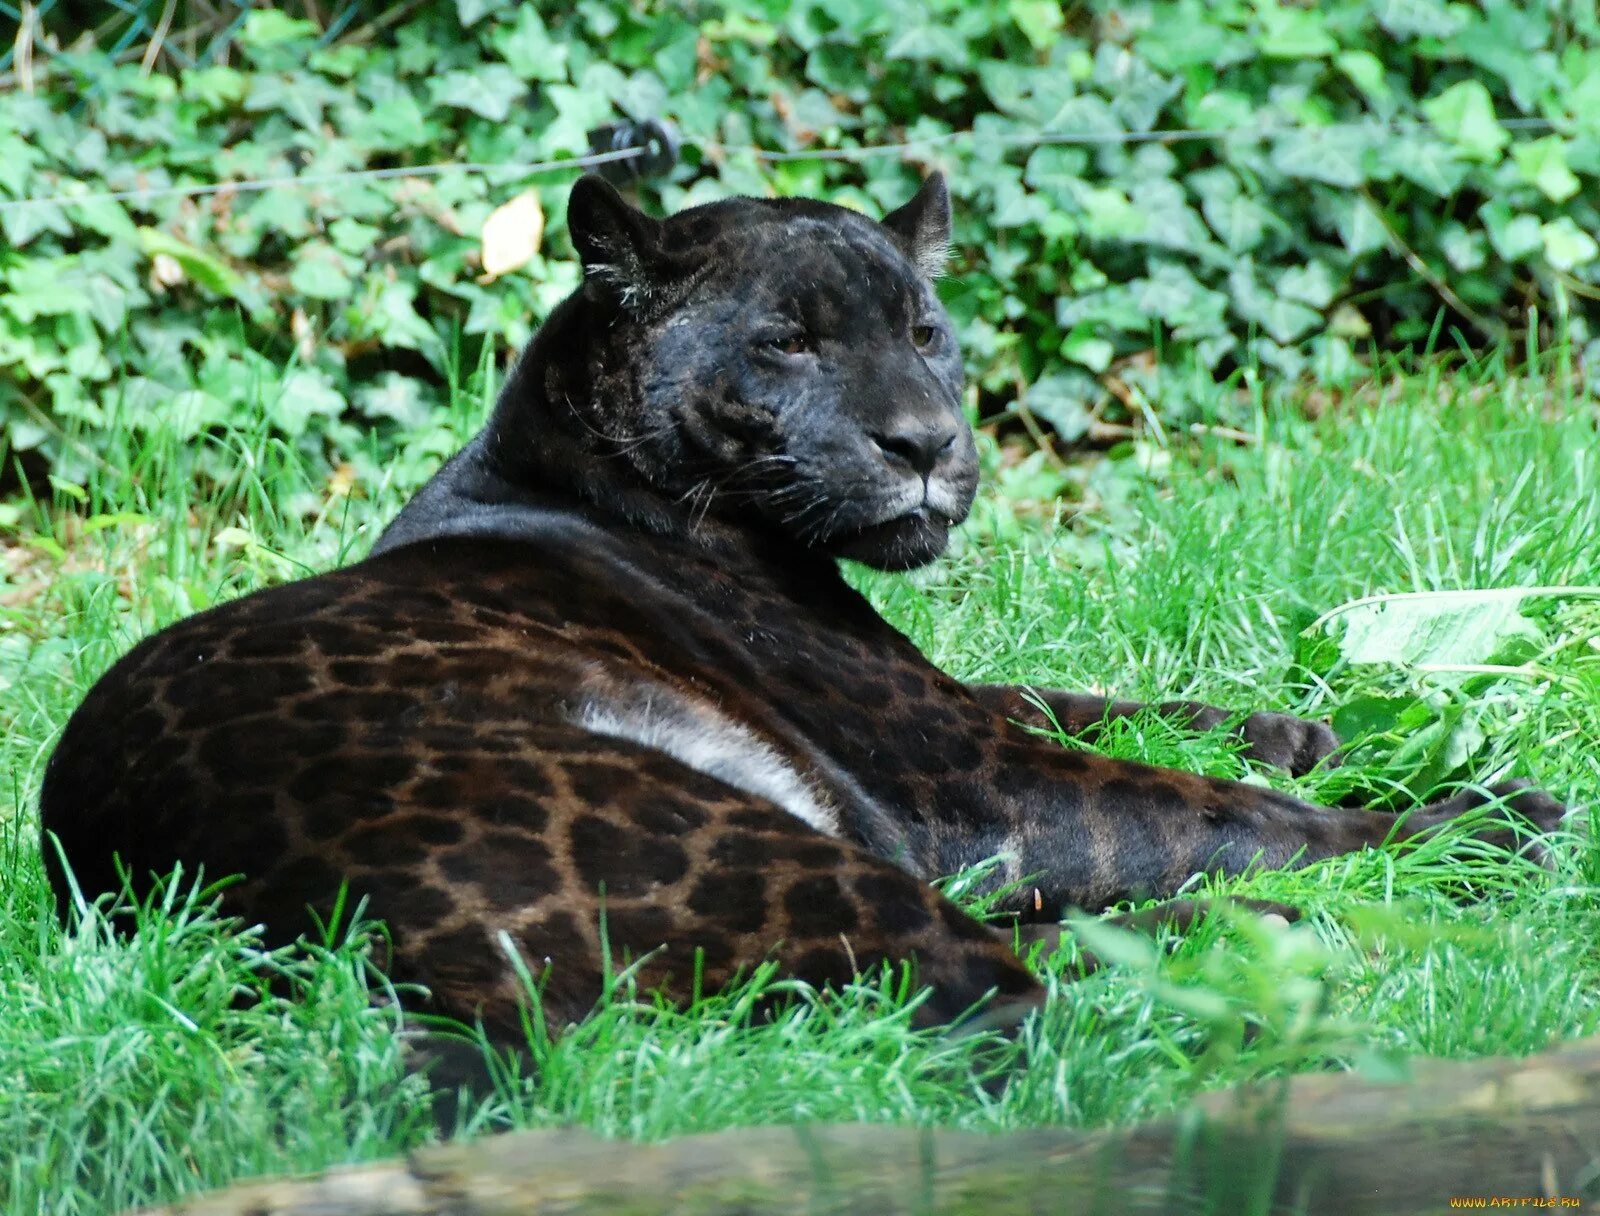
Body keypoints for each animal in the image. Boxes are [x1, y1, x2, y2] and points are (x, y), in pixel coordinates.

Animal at [37, 176, 1561, 1043]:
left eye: (927, 332)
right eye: (787, 343)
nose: (927, 442)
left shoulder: (942, 706)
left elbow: (1125, 706)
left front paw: (1321, 732)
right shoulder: (965, 775)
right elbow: (1209, 808)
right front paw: (1476, 819)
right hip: (728, 827)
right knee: (1009, 1001)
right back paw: (1303, 955)